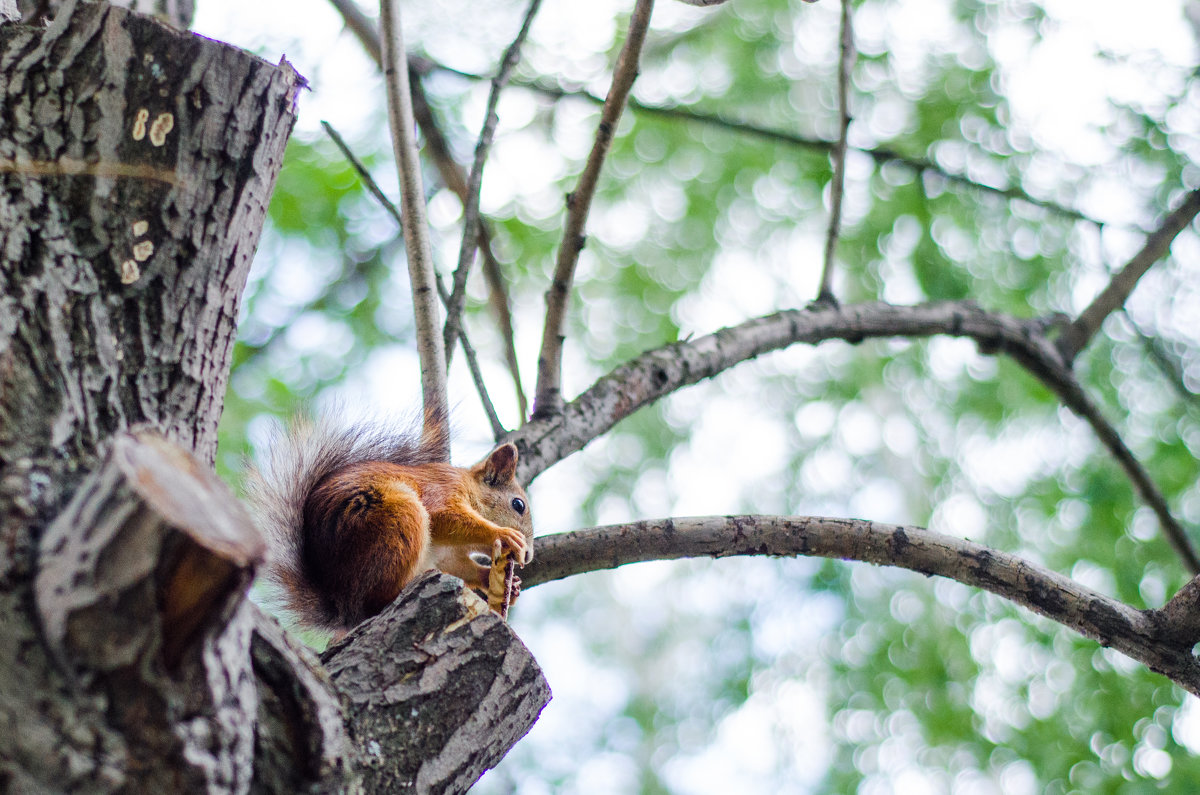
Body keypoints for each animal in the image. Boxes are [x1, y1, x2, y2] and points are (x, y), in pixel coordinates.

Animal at [243, 417, 535, 634]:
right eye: (518, 505)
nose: (530, 556)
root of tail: (343, 605)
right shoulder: (442, 490)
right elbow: (446, 517)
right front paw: (505, 534)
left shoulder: (446, 555)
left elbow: (461, 567)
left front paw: (507, 584)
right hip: (398, 518)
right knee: (377, 601)